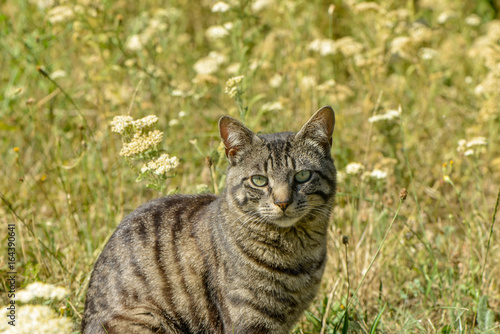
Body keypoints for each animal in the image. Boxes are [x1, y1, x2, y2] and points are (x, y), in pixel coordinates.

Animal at [83, 105, 336, 332]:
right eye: (259, 180)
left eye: (302, 176)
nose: (282, 202)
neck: (296, 253)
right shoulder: (249, 320)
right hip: (148, 317)